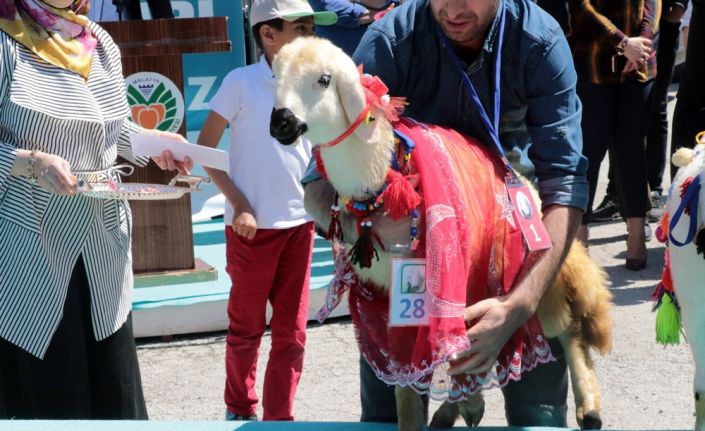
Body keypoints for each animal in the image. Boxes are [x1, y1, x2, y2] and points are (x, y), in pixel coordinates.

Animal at [270, 37, 612, 431]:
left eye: (324, 80)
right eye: (274, 76)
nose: (280, 122)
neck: (384, 176)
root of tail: (531, 190)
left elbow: (461, 352)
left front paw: (470, 400)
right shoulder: (390, 293)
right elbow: (406, 376)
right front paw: (419, 417)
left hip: (534, 278)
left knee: (569, 327)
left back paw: (588, 407)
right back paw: (451, 412)